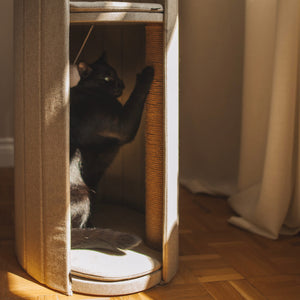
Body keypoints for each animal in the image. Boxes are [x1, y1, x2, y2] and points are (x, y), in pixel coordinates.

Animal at [69, 52, 155, 250]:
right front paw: (146, 73)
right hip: (83, 195)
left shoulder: (94, 177)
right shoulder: (123, 126)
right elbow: (135, 98)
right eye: (107, 78)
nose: (121, 83)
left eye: (116, 73)